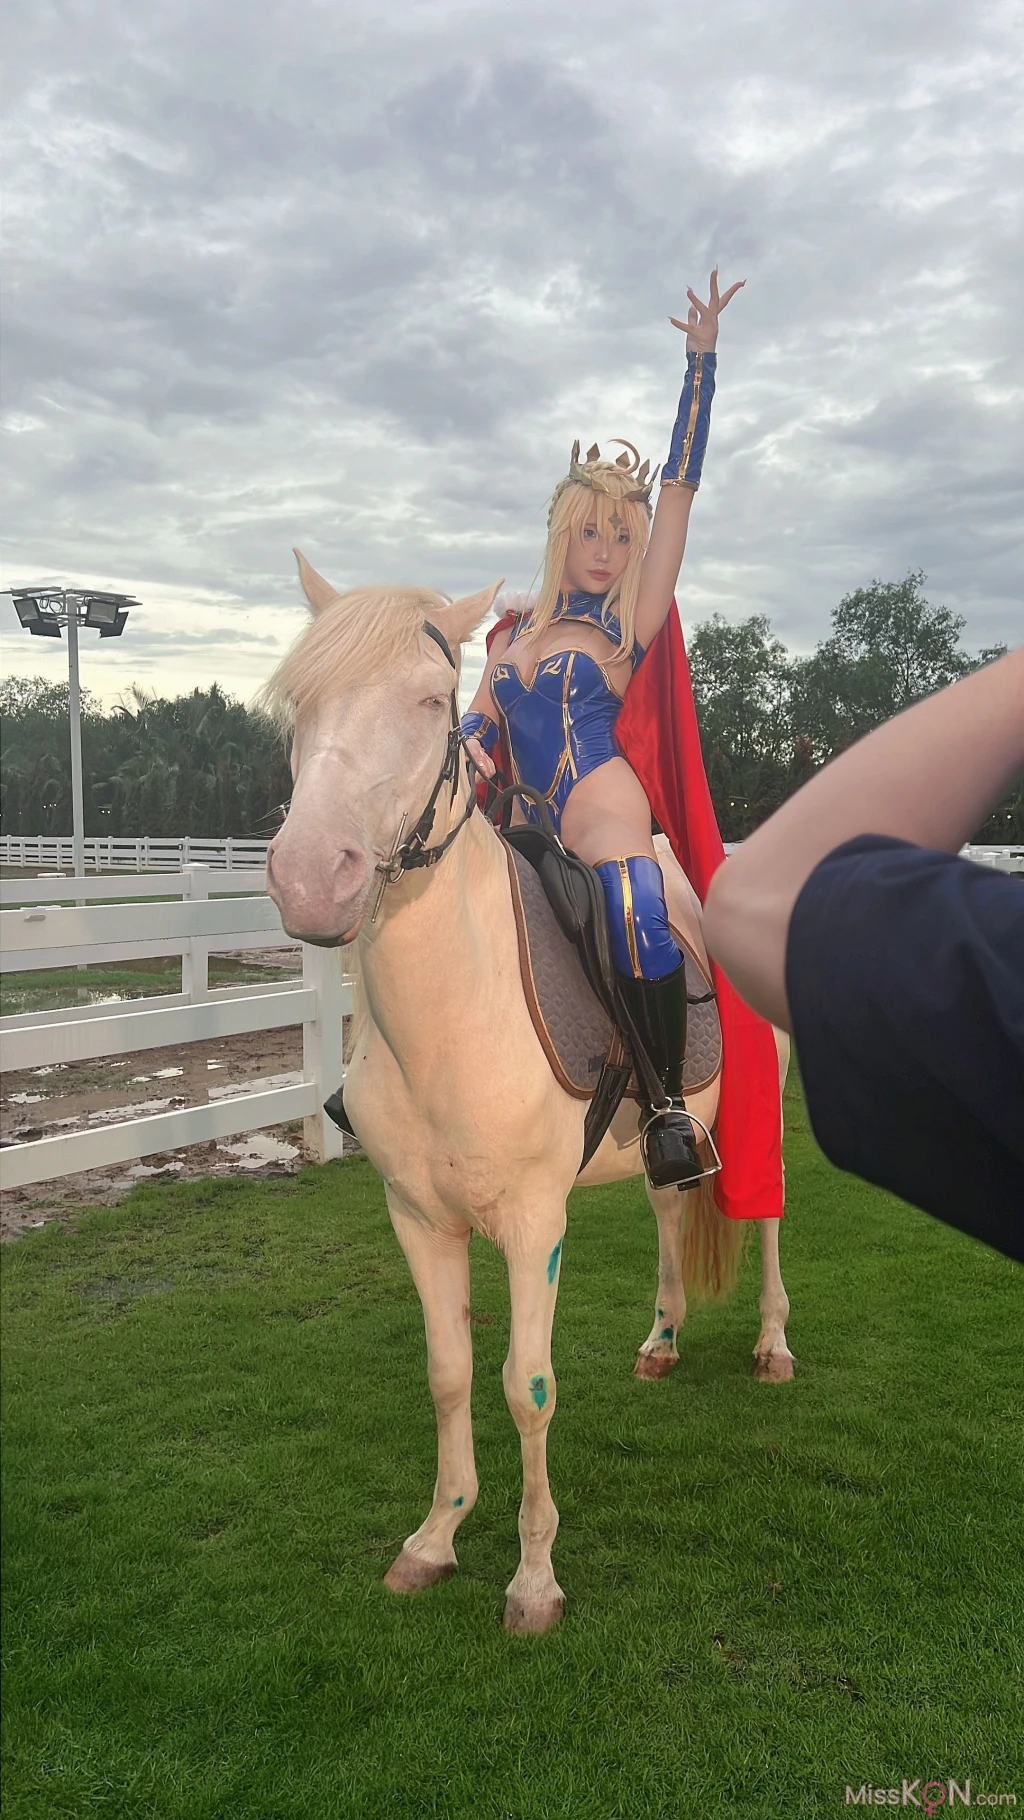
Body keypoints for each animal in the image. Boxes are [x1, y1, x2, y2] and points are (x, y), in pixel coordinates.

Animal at [263, 553, 793, 1638]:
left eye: (431, 699)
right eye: (302, 700)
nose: (309, 876)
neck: (455, 1013)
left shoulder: (531, 1221)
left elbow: (527, 1386)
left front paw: (534, 1576)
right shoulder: (418, 1217)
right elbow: (449, 1373)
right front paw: (433, 1539)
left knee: (766, 1217)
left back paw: (772, 1342)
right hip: (669, 1137)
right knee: (671, 1205)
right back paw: (662, 1340)